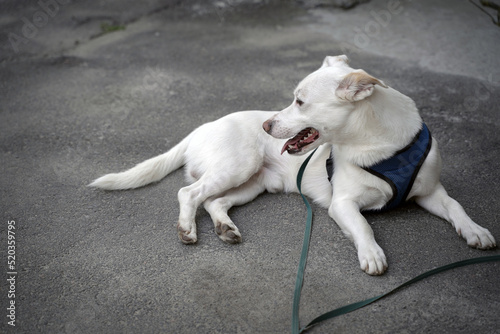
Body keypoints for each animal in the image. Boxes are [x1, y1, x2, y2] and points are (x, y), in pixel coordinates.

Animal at [91, 54, 496, 274]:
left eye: (300, 102)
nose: (268, 126)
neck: (379, 143)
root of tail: (200, 128)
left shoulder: (431, 191)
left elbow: (457, 208)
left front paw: (475, 231)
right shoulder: (342, 204)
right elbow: (365, 227)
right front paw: (371, 253)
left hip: (252, 183)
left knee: (213, 202)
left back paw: (225, 228)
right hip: (238, 166)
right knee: (188, 193)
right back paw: (187, 229)